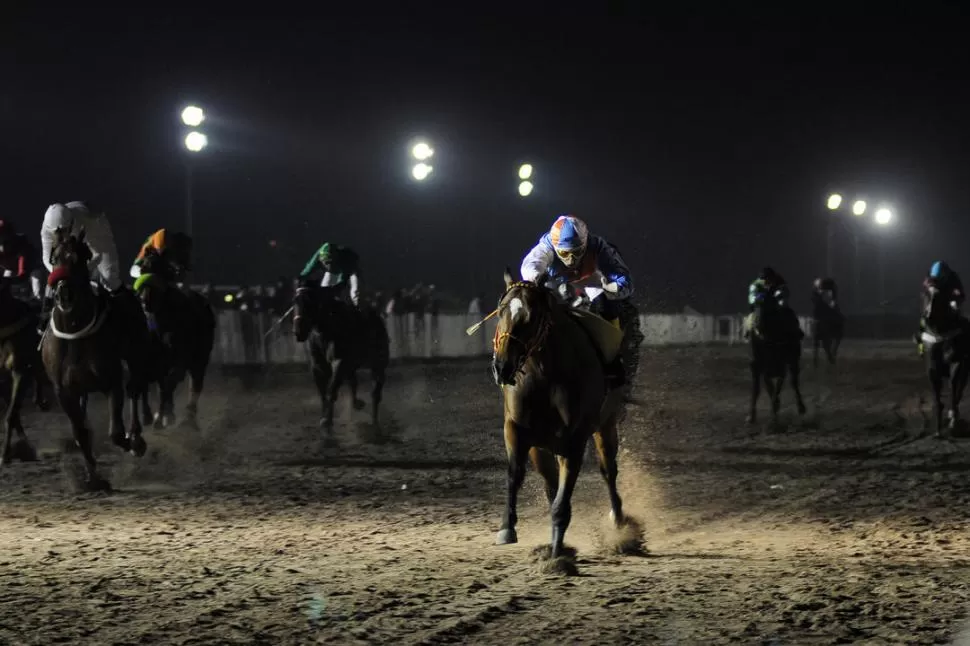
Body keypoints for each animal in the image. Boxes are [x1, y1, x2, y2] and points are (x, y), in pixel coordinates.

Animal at [41, 228, 148, 492]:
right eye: (54, 258)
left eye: (79, 258)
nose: (64, 294)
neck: (74, 332)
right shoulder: (64, 391)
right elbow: (81, 433)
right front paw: (94, 479)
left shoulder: (112, 382)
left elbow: (116, 433)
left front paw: (131, 443)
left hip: (136, 354)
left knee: (135, 388)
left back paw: (137, 439)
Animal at [132, 251, 214, 432]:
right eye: (143, 270)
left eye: (162, 270)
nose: (145, 301)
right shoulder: (150, 359)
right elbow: (149, 383)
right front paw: (150, 416)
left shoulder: (180, 358)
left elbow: (169, 383)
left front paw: (159, 418)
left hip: (201, 356)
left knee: (195, 382)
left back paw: (188, 419)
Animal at [292, 280, 390, 438]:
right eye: (295, 301)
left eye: (310, 301)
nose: (298, 331)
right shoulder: (318, 366)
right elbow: (323, 393)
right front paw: (325, 419)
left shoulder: (340, 362)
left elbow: (331, 390)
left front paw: (327, 421)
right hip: (352, 366)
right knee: (353, 383)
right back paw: (357, 403)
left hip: (378, 364)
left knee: (376, 392)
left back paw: (375, 423)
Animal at [492, 268, 628, 560]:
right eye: (500, 311)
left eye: (531, 317)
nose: (502, 367)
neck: (545, 376)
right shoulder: (516, 430)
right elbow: (515, 474)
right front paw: (507, 527)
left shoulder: (574, 441)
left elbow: (562, 500)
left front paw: (556, 552)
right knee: (551, 483)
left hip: (605, 425)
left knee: (608, 471)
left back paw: (619, 522)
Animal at [920, 288, 964, 436]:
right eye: (926, 295)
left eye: (939, 296)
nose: (928, 315)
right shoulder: (932, 369)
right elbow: (937, 398)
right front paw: (938, 430)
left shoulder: (957, 364)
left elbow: (954, 388)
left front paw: (953, 422)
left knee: (959, 390)